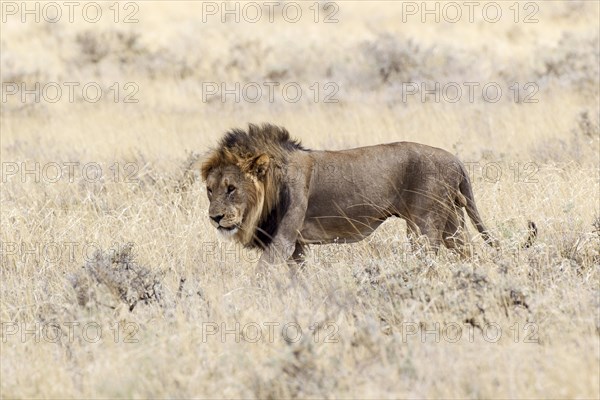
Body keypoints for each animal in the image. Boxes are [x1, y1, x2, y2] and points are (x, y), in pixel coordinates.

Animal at [199, 123, 536, 270]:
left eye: (231, 188)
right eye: (209, 189)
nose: (215, 217)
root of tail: (455, 159)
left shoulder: (282, 239)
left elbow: (261, 275)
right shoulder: (296, 246)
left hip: (424, 226)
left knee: (429, 258)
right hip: (452, 223)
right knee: (470, 253)